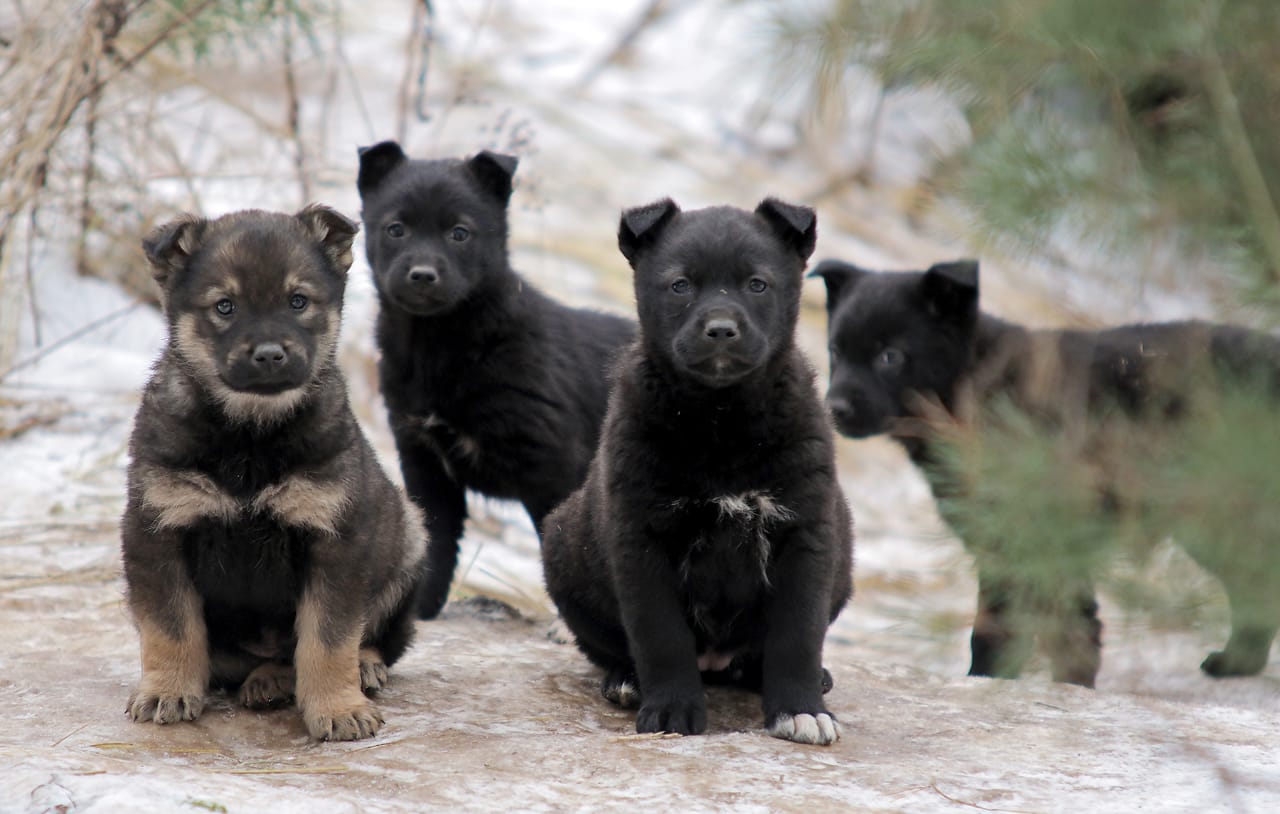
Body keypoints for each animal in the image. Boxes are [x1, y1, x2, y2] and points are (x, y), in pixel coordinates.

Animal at [122, 206, 427, 742]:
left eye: (298, 301)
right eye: (225, 307)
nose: (268, 354)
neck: (249, 436)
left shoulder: (335, 537)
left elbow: (329, 637)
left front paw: (338, 707)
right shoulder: (156, 528)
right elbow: (170, 627)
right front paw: (167, 690)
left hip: (409, 536)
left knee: (377, 638)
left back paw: (355, 667)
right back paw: (268, 680)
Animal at [358, 143, 637, 619]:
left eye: (460, 233)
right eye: (396, 229)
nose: (423, 275)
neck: (444, 345)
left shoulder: (555, 465)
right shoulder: (424, 461)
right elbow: (437, 545)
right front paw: (418, 614)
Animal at [545, 195, 855, 742]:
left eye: (757, 284)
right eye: (680, 285)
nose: (721, 331)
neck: (721, 419)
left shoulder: (806, 533)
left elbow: (797, 634)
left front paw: (800, 709)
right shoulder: (642, 535)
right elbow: (661, 635)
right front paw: (671, 709)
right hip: (563, 546)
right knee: (610, 645)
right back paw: (626, 680)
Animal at [808, 258, 1280, 686]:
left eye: (890, 356)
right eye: (835, 352)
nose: (835, 409)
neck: (976, 388)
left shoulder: (1042, 534)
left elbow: (1039, 625)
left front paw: (1038, 683)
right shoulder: (1007, 543)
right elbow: (1034, 625)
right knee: (1252, 584)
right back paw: (1237, 663)